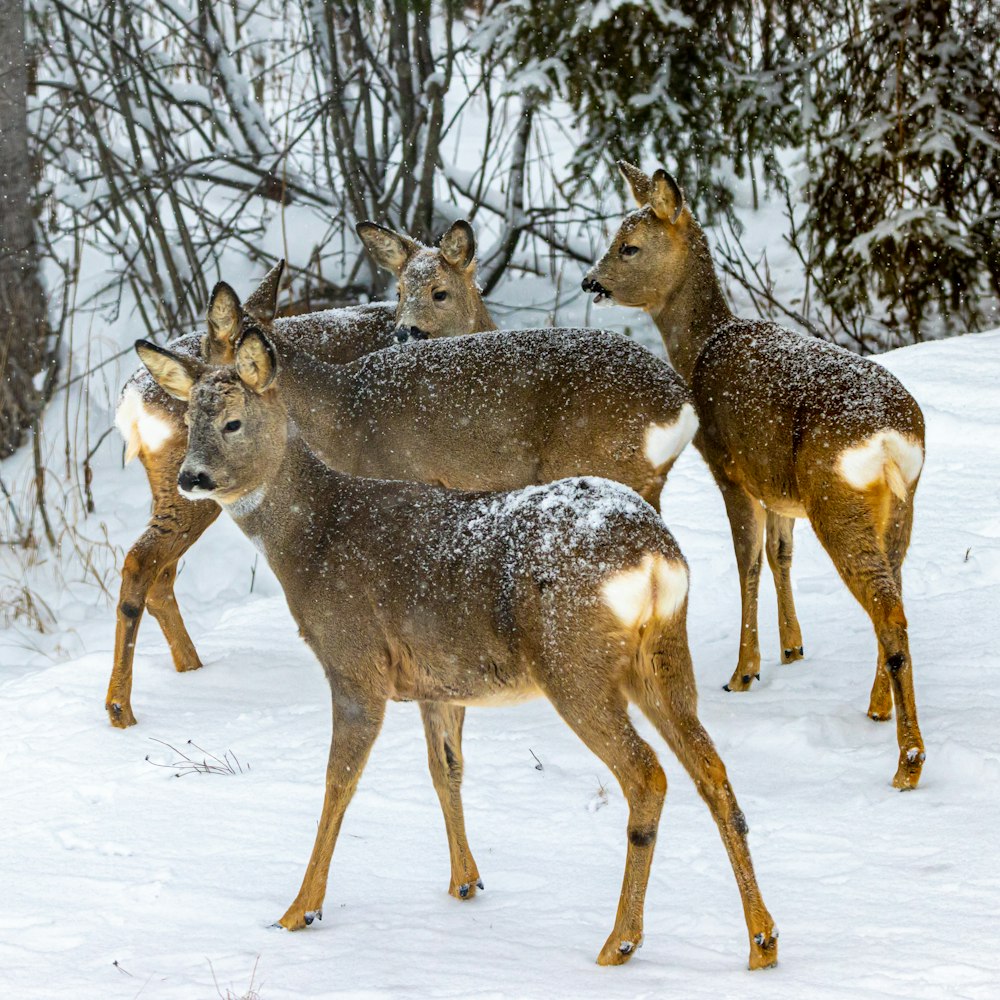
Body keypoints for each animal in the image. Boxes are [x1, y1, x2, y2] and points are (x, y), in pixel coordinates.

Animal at [109, 270, 700, 732]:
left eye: (216, 357)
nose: (183, 382)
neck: (341, 412)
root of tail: (680, 407)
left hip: (606, 464)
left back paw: (123, 707)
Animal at [133, 332, 776, 972]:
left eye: (233, 422)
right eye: (188, 420)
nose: (191, 476)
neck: (314, 539)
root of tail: (654, 556)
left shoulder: (354, 662)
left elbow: (339, 782)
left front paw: (299, 910)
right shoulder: (435, 681)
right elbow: (446, 769)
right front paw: (465, 881)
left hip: (573, 663)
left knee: (647, 775)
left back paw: (620, 941)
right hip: (663, 655)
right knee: (711, 770)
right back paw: (762, 940)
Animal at [584, 162, 924, 788]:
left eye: (629, 245)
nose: (589, 282)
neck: (700, 349)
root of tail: (891, 437)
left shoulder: (729, 468)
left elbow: (747, 560)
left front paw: (744, 672)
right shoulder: (779, 491)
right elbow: (780, 553)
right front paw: (792, 649)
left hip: (836, 496)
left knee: (886, 605)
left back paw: (907, 762)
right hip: (898, 504)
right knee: (895, 595)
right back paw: (878, 706)